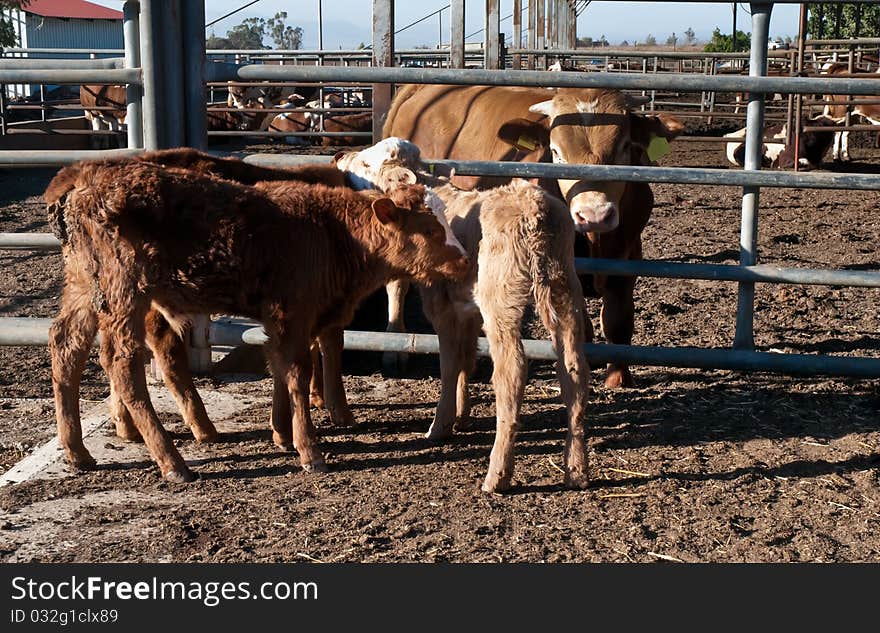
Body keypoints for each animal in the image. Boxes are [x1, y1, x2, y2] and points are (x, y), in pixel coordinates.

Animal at [382, 82, 684, 390]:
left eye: (624, 147)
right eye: (556, 152)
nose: (594, 214)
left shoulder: (628, 252)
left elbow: (618, 319)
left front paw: (617, 374)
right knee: (397, 284)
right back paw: (395, 347)